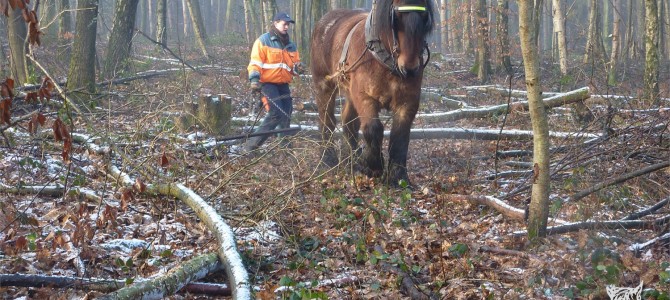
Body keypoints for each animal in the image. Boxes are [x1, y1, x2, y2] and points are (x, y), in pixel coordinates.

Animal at [312, 0, 436, 185]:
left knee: (348, 122)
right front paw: (372, 165)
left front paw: (398, 176)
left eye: (424, 16)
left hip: (350, 93)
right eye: (396, 17)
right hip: (324, 85)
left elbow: (400, 134)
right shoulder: (364, 96)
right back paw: (328, 160)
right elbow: (373, 128)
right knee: (327, 120)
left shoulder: (408, 101)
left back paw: (351, 161)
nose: (410, 69)